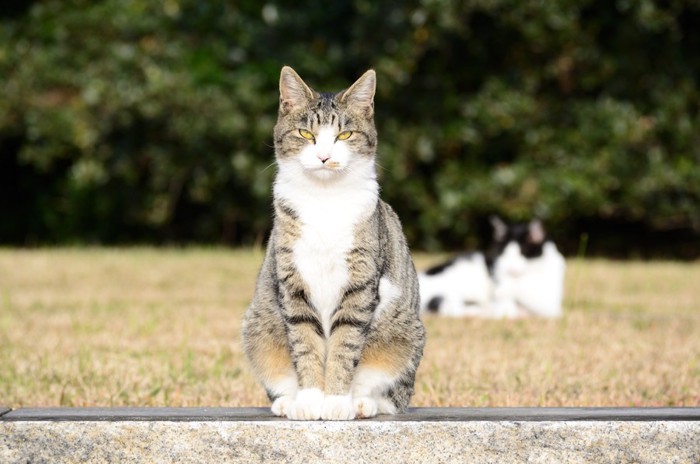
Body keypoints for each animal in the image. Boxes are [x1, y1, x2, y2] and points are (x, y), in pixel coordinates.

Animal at [241, 66, 426, 420]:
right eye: (305, 134)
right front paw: (310, 400)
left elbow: (345, 344)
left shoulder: (361, 284)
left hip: (405, 332)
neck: (324, 200)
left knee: (392, 395)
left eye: (344, 135)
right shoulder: (293, 283)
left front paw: (338, 401)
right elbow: (305, 344)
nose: (324, 156)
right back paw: (287, 401)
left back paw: (364, 403)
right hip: (258, 324)